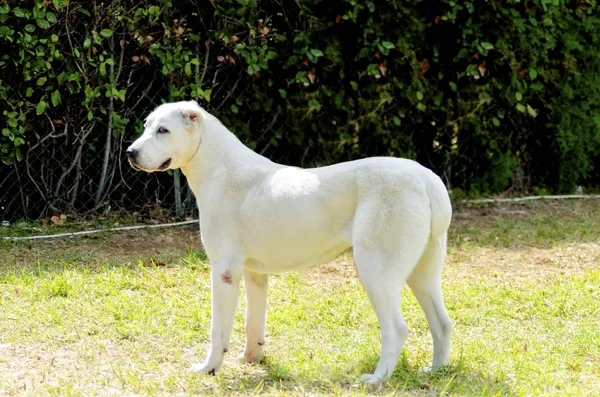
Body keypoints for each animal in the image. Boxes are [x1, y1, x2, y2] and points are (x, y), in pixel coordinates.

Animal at [127, 100, 454, 384]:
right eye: (146, 126)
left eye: (163, 130)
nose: (130, 152)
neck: (218, 166)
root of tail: (426, 177)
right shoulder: (254, 274)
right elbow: (253, 324)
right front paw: (252, 360)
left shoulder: (224, 272)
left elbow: (217, 331)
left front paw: (209, 368)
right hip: (422, 273)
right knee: (442, 322)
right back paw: (436, 370)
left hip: (376, 270)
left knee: (396, 329)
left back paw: (377, 379)